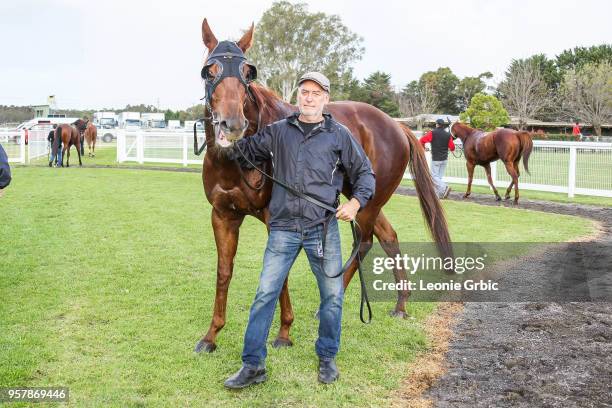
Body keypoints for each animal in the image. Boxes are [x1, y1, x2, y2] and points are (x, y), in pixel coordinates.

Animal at [196, 18, 454, 354]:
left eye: (248, 72)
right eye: (209, 70)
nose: (232, 124)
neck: (238, 159)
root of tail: (397, 126)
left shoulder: (275, 218)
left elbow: (279, 273)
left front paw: (284, 332)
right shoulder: (223, 215)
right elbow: (224, 271)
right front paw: (211, 336)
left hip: (368, 203)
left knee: (364, 242)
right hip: (360, 196)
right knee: (388, 236)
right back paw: (400, 304)